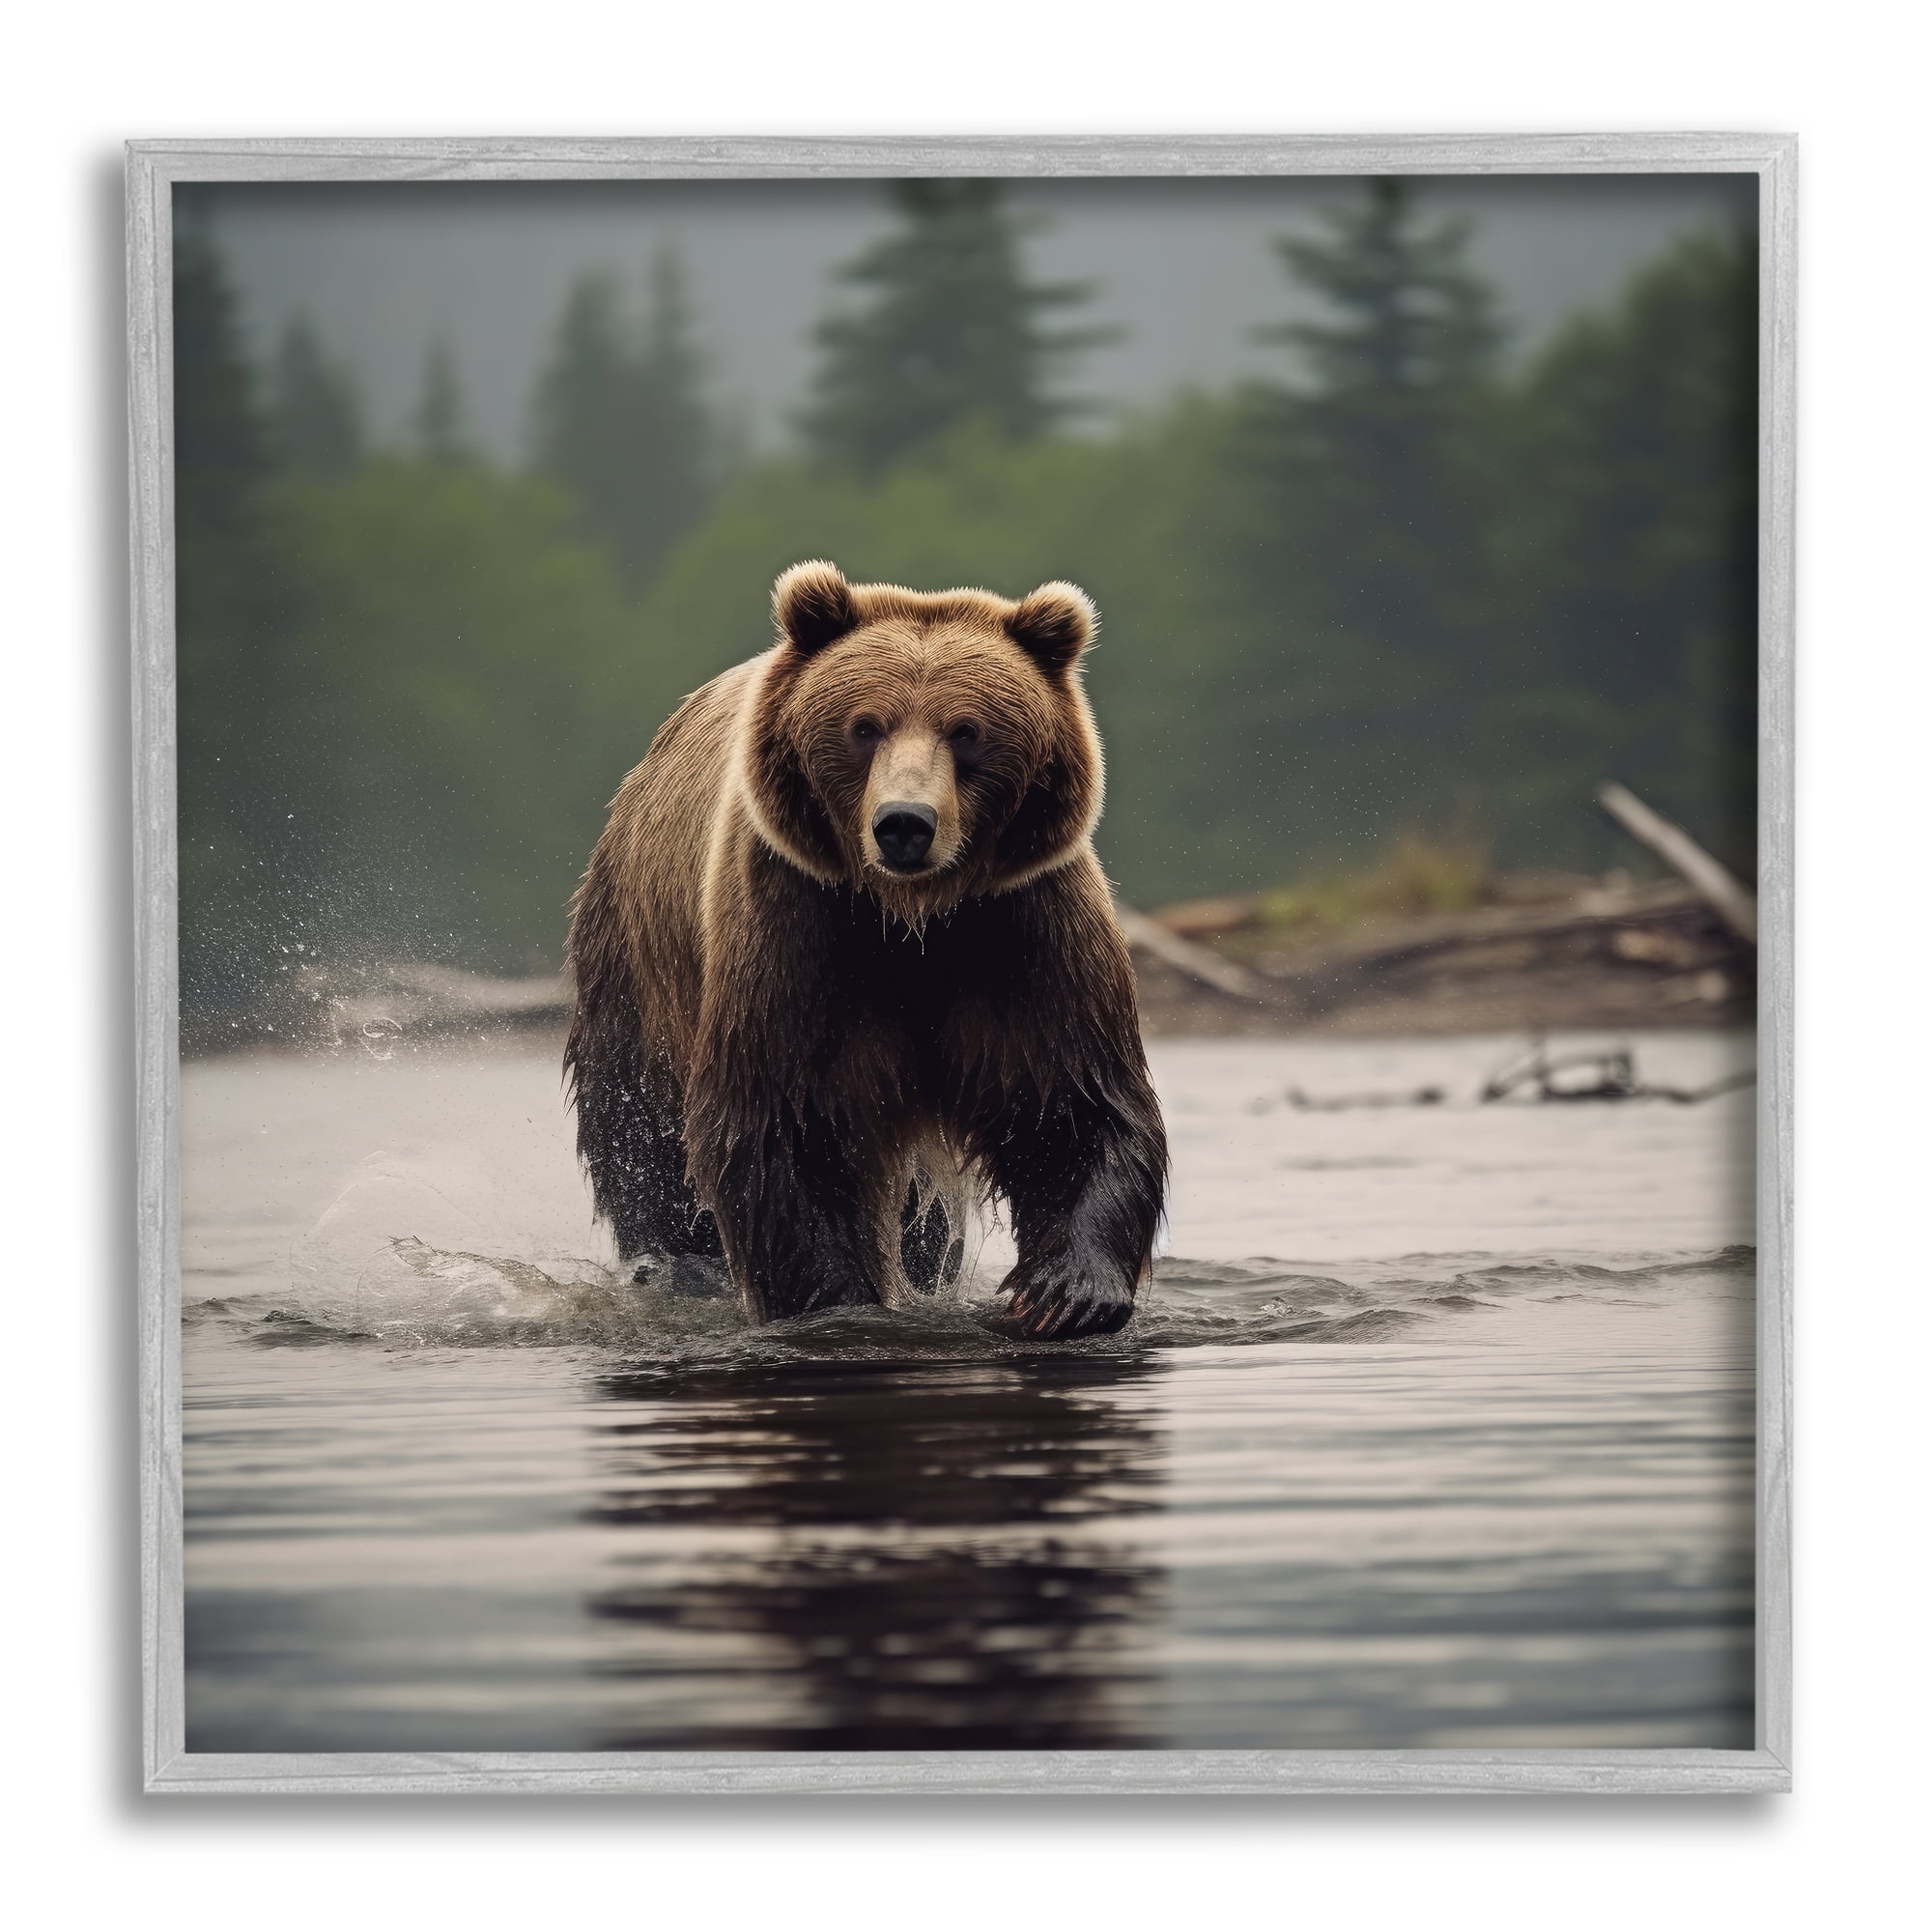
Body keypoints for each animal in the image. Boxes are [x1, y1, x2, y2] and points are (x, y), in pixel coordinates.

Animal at [564, 560, 1167, 1340]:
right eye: (864, 726)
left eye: (968, 731)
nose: (904, 823)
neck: (910, 921)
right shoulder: (798, 928)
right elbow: (785, 1124)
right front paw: (839, 1299)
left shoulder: (1023, 927)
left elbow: (1071, 1104)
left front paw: (1066, 1291)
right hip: (639, 968)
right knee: (640, 1131)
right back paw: (677, 1264)